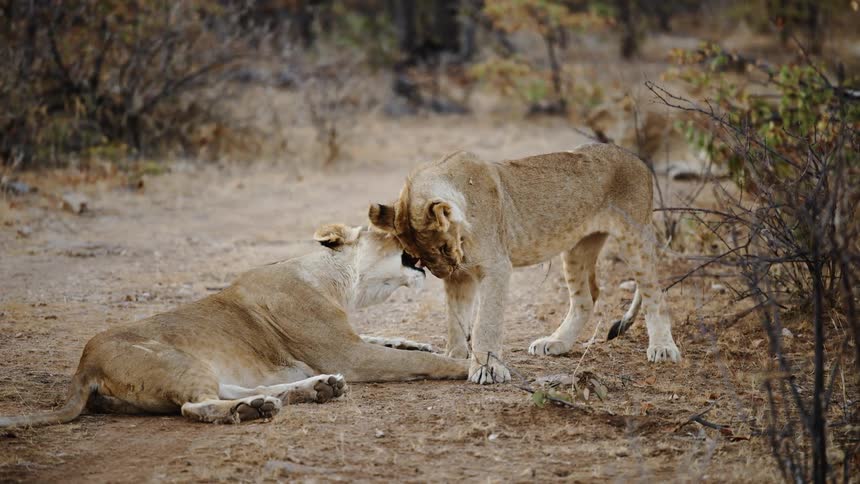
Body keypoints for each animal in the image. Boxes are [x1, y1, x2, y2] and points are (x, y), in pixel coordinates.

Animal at [0, 224, 467, 428]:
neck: (341, 283)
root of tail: (83, 368)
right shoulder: (349, 355)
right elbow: (419, 363)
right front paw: (470, 366)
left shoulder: (349, 343)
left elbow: (391, 342)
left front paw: (414, 344)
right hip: (177, 361)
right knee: (197, 406)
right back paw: (254, 410)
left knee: (237, 389)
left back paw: (313, 389)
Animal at [369, 143, 681, 384]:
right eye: (417, 257)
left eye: (442, 248)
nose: (443, 272)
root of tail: (637, 159)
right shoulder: (462, 278)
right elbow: (455, 320)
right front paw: (453, 357)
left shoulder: (496, 267)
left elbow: (486, 322)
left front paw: (487, 370)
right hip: (578, 246)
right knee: (587, 298)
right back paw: (555, 343)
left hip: (634, 236)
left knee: (656, 294)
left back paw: (663, 348)